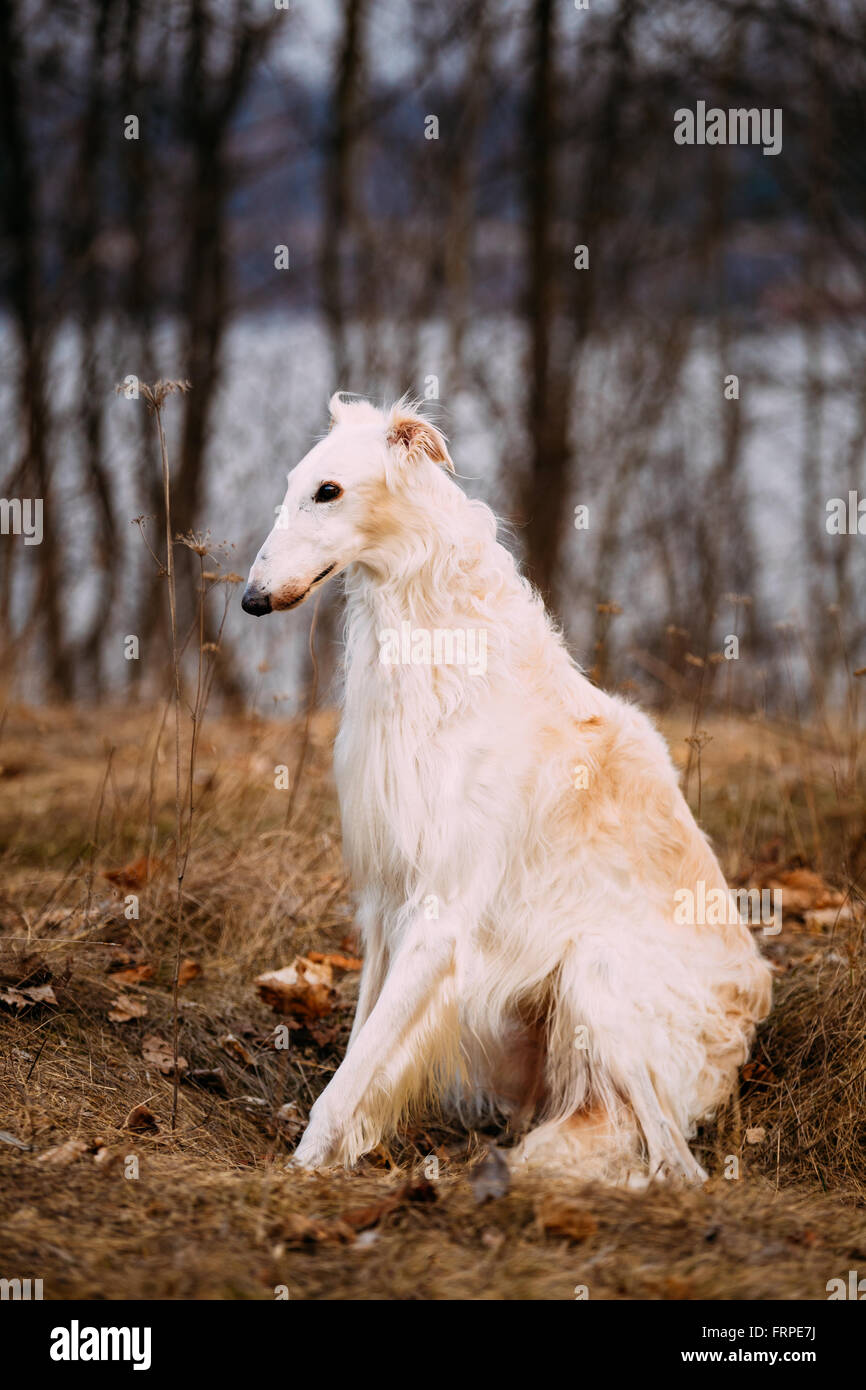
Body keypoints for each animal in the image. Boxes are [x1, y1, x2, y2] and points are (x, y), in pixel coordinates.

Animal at [241, 391, 772, 1184]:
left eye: (327, 491)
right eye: (291, 486)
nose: (250, 598)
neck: (443, 651)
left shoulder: (440, 916)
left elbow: (347, 1079)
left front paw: (305, 1164)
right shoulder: (384, 906)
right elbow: (361, 1047)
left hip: (595, 968)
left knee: (677, 1164)